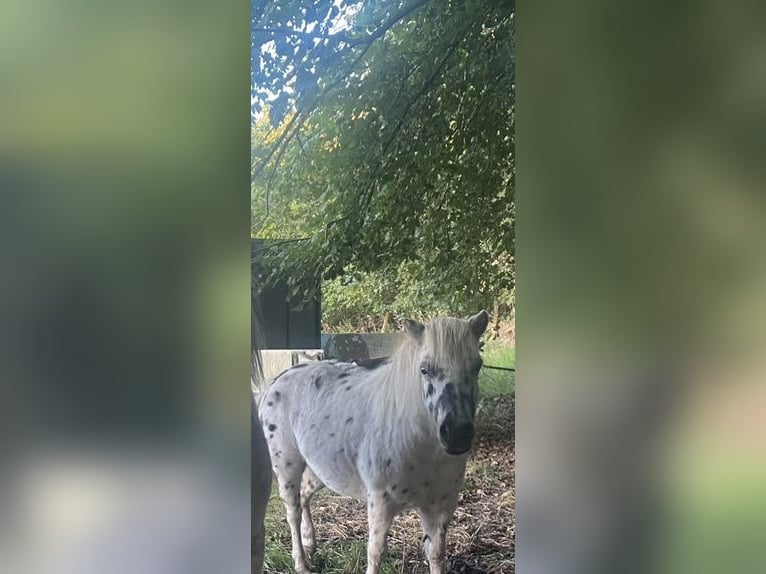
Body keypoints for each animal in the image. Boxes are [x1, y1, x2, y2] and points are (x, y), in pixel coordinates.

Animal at [259, 311, 489, 574]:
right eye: (424, 369)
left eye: (477, 366)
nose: (457, 434)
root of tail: (277, 380)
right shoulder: (381, 503)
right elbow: (376, 552)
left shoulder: (440, 505)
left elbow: (436, 554)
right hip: (287, 466)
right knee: (293, 511)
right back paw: (301, 563)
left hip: (322, 468)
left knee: (305, 495)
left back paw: (310, 545)